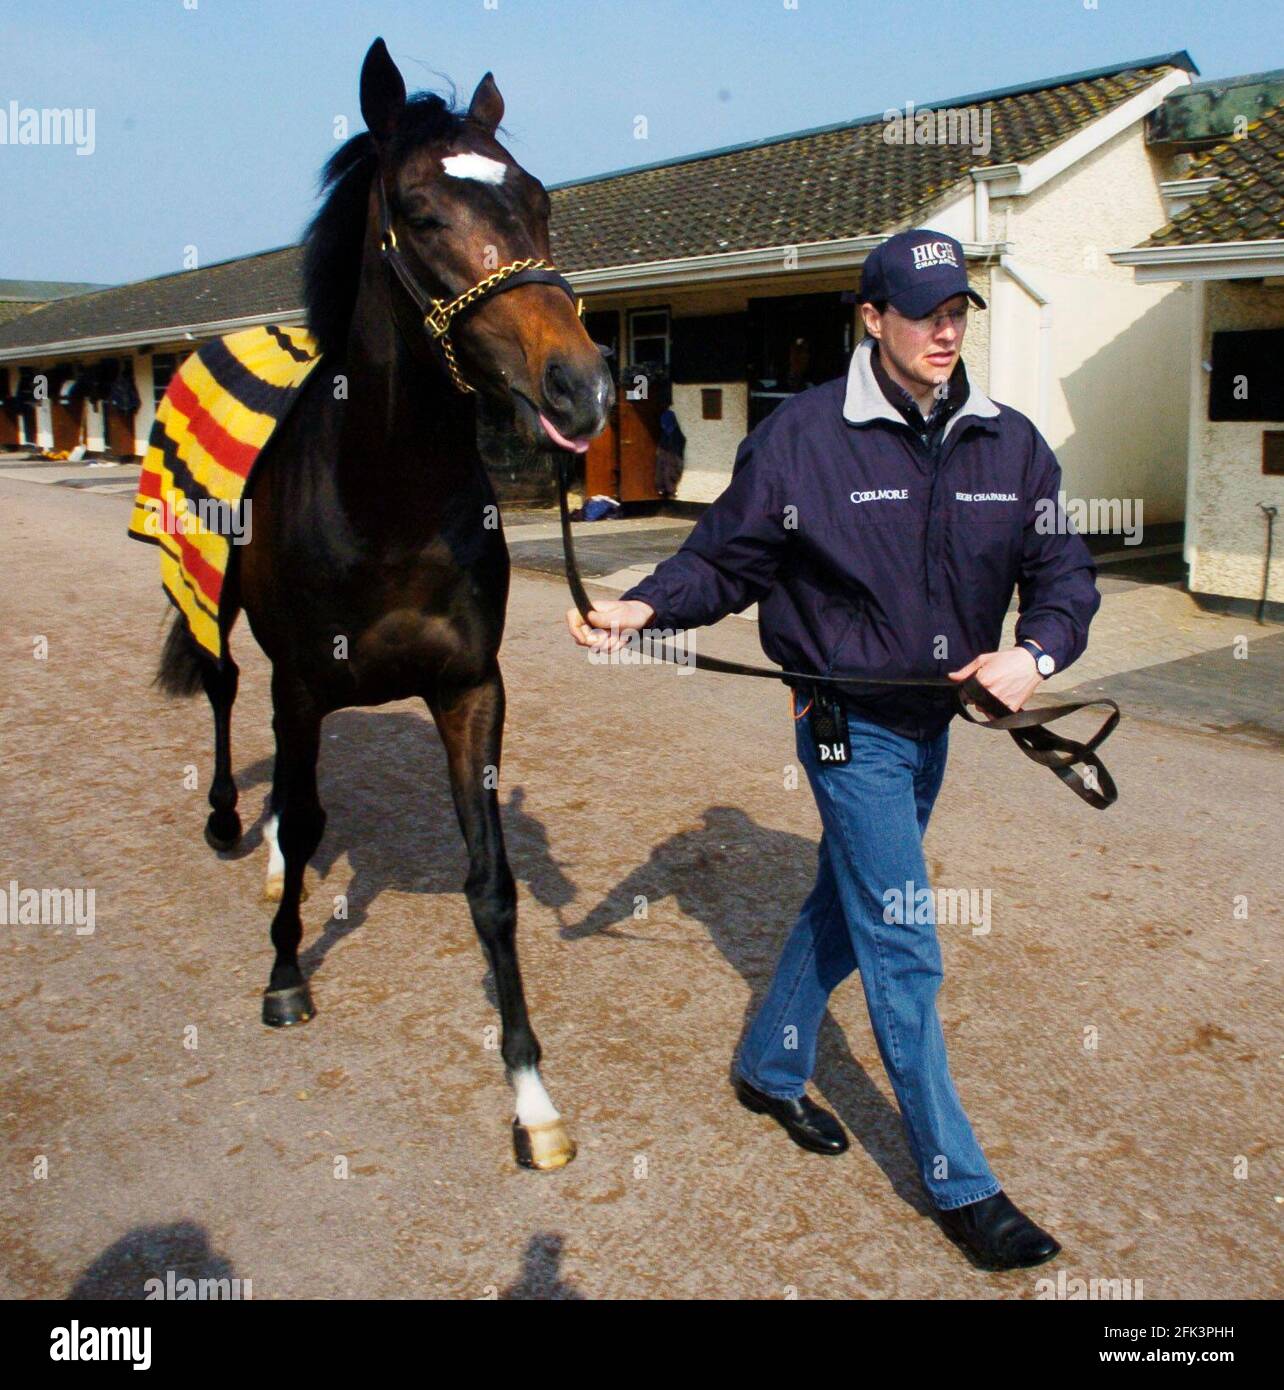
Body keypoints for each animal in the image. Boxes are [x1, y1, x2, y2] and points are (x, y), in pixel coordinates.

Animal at [152, 38, 614, 1167]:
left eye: (537, 198)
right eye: (419, 208)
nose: (580, 386)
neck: (385, 497)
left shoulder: (469, 689)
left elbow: (489, 883)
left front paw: (531, 1094)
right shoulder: (307, 683)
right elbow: (310, 803)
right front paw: (284, 976)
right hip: (222, 619)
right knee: (229, 700)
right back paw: (233, 823)